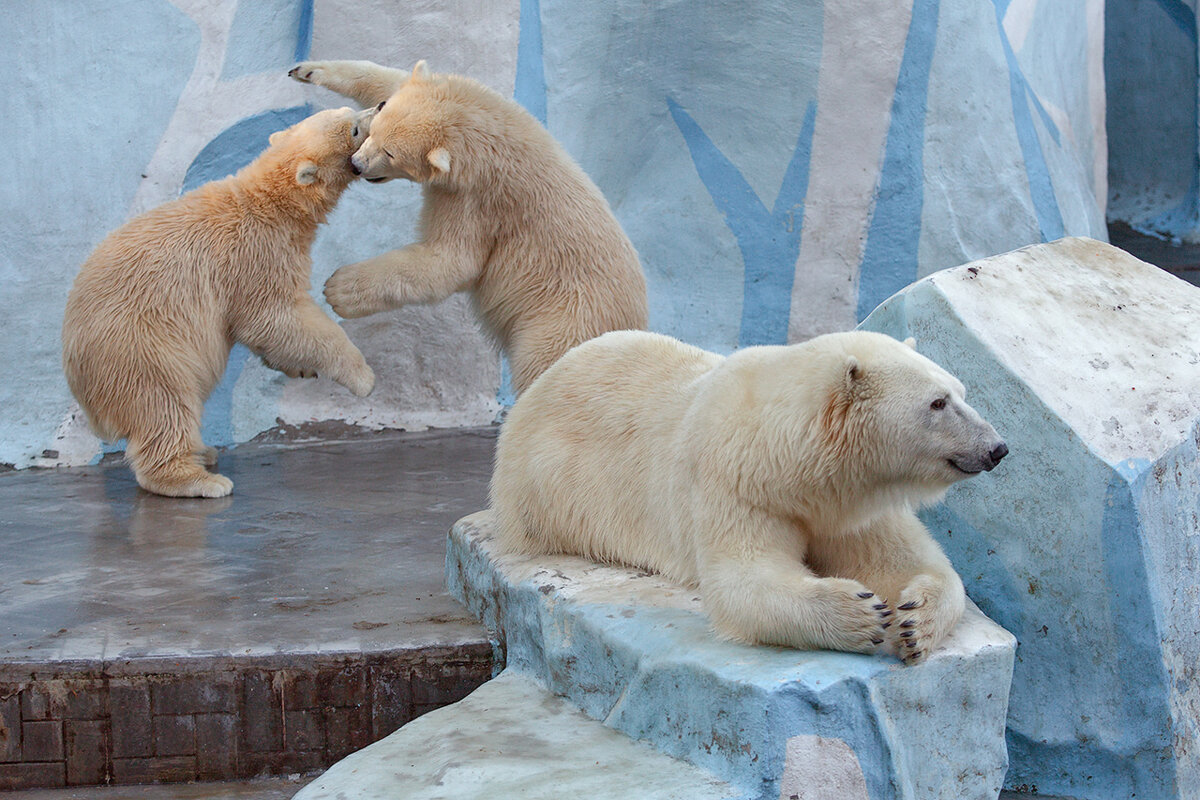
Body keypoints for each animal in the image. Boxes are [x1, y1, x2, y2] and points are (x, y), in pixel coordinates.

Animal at [289, 59, 648, 393]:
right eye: (374, 128)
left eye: (390, 153)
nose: (357, 164)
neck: (485, 133)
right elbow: (391, 79)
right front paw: (309, 70)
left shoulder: (478, 200)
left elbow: (451, 261)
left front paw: (340, 288)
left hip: (562, 321)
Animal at [492, 331, 1008, 662]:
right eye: (937, 403)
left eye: (961, 391)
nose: (997, 448)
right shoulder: (737, 485)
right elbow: (743, 580)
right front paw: (862, 614)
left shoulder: (852, 503)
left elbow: (914, 562)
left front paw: (913, 621)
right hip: (545, 482)